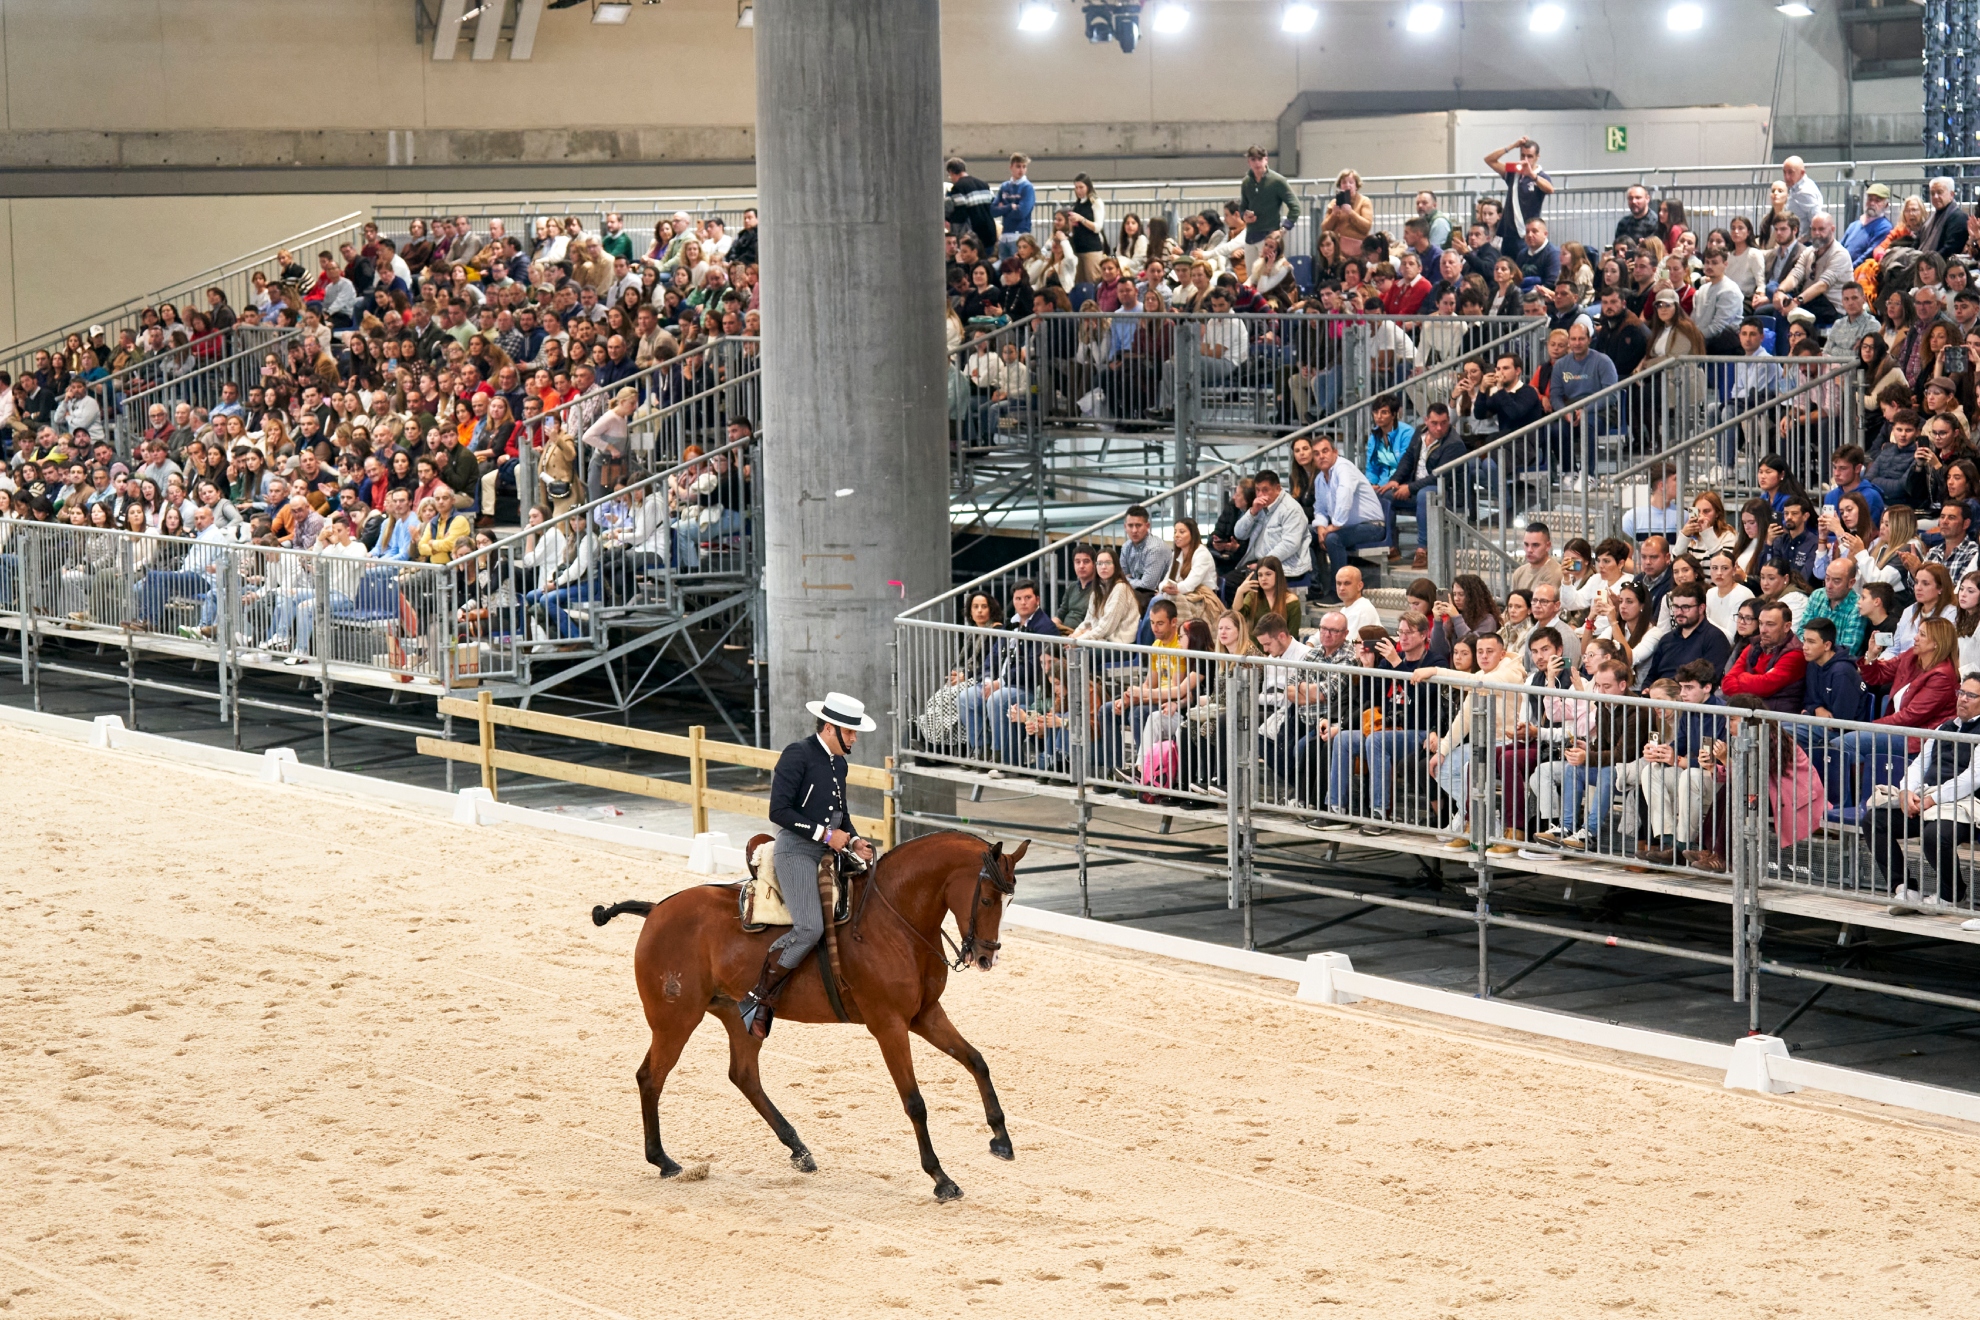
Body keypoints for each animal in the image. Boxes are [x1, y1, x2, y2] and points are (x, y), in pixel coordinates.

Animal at [586, 835, 1029, 1211]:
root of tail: (657, 910)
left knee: (743, 1075)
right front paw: (940, 1178)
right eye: (986, 898)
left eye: (1009, 900)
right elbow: (915, 1102)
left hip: (738, 1016)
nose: (985, 957)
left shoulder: (925, 1014)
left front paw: (1001, 1139)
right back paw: (663, 1160)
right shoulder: (888, 1025)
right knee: (651, 1077)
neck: (895, 919)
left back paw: (798, 1150)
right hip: (674, 1020)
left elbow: (976, 1061)